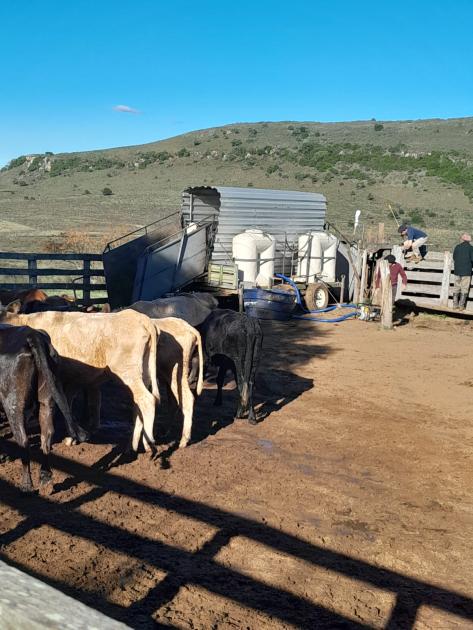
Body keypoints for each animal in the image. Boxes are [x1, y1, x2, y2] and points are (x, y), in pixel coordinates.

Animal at [0, 306, 160, 454]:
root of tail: (138, 316)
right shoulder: (71, 380)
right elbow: (67, 404)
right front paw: (72, 437)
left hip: (128, 373)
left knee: (147, 400)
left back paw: (145, 444)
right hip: (143, 373)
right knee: (138, 406)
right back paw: (132, 446)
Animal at [0, 326, 86, 494]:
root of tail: (32, 334)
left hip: (13, 403)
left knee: (23, 440)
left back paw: (26, 486)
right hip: (46, 400)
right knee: (47, 435)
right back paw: (45, 477)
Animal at [151, 320, 203, 450]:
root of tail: (188, 327)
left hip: (175, 374)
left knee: (187, 399)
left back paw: (184, 440)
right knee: (174, 403)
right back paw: (165, 432)